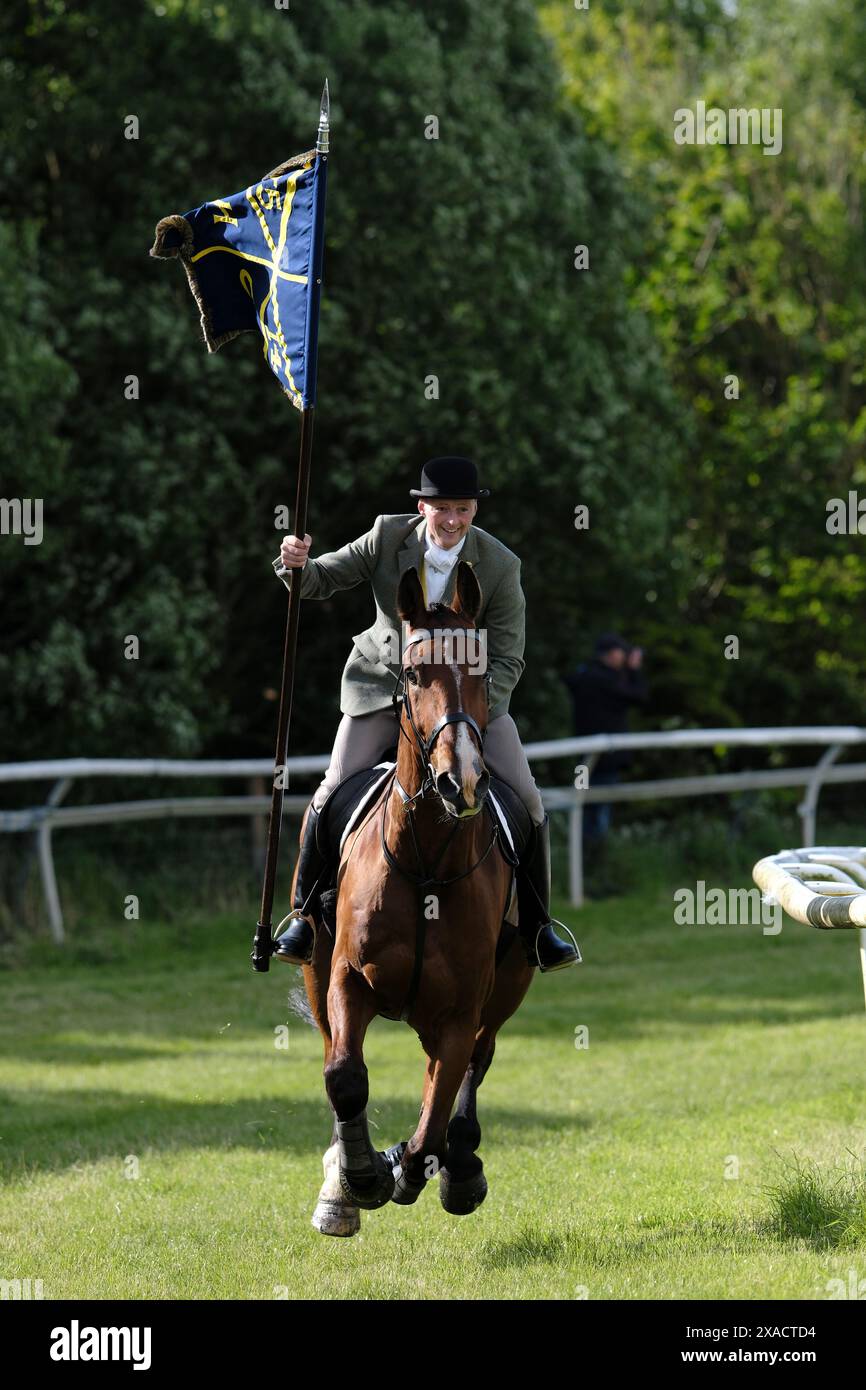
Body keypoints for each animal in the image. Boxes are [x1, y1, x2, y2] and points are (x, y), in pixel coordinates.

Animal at [297, 564, 536, 1239]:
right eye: (410, 674)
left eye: (483, 674)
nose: (463, 781)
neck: (427, 860)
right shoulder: (346, 978)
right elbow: (345, 1077)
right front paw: (358, 1179)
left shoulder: (462, 1010)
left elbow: (440, 1104)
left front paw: (410, 1165)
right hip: (315, 966)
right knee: (336, 1054)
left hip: (507, 986)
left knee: (470, 1066)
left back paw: (459, 1166)